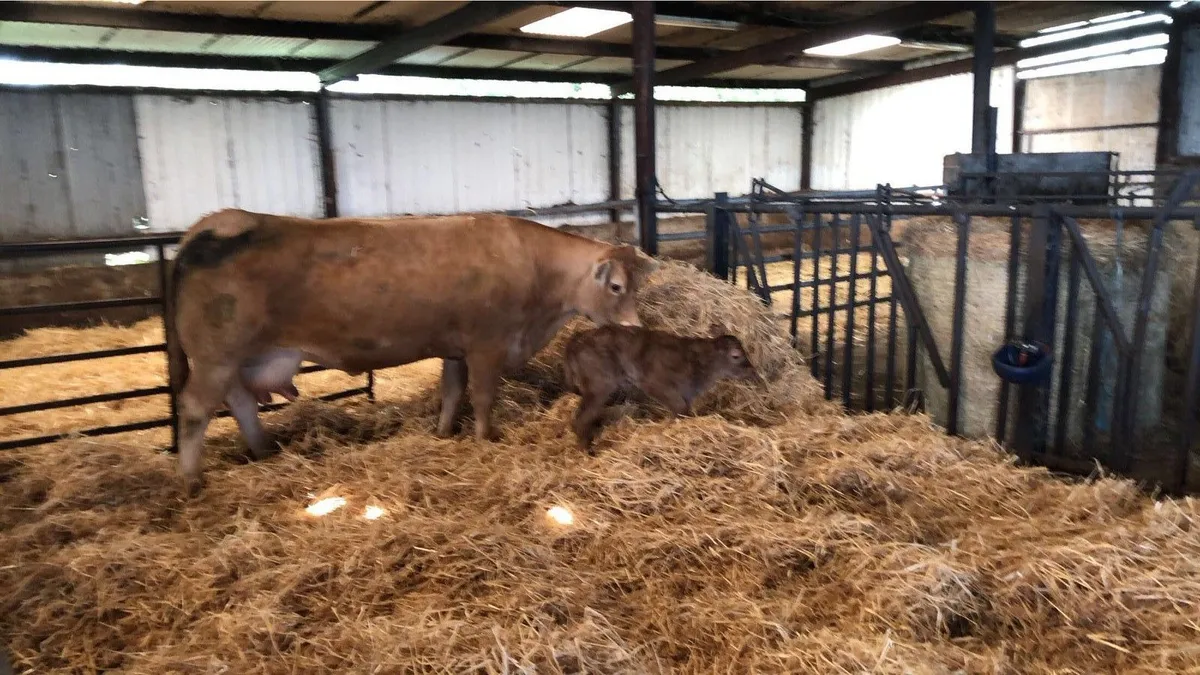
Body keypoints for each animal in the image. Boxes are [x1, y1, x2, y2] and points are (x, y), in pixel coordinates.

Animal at [166, 208, 658, 495]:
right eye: (616, 287)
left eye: (639, 284)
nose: (636, 328)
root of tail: (213, 224)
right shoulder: (487, 344)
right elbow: (483, 396)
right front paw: (486, 438)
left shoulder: (455, 347)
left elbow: (451, 392)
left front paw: (443, 432)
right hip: (215, 357)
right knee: (194, 410)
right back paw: (192, 481)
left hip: (236, 360)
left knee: (239, 402)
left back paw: (262, 450)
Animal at [562, 322, 761, 453]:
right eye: (736, 355)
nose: (752, 370)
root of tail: (575, 340)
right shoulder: (655, 384)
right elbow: (679, 409)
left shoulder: (685, 395)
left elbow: (683, 412)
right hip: (599, 386)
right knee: (581, 418)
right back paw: (587, 450)